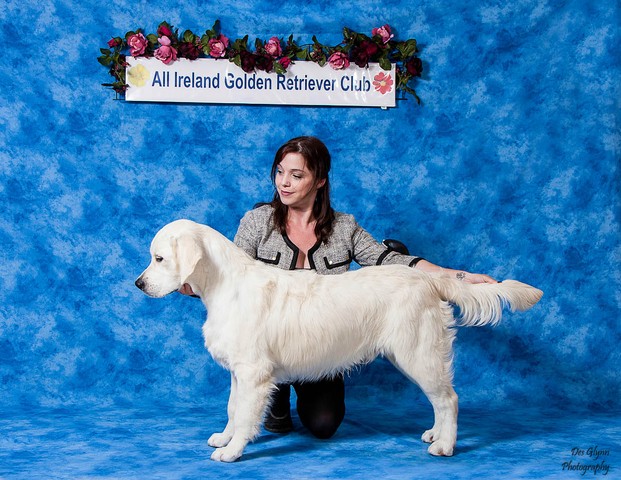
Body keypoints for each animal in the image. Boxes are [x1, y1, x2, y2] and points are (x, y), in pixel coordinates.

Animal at [135, 219, 543, 462]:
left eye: (159, 258)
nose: (138, 284)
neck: (225, 285)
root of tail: (428, 280)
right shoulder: (240, 371)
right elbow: (234, 409)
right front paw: (224, 438)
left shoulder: (253, 372)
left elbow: (245, 413)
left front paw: (233, 451)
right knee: (441, 401)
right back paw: (434, 435)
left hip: (417, 352)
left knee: (449, 399)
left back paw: (445, 445)